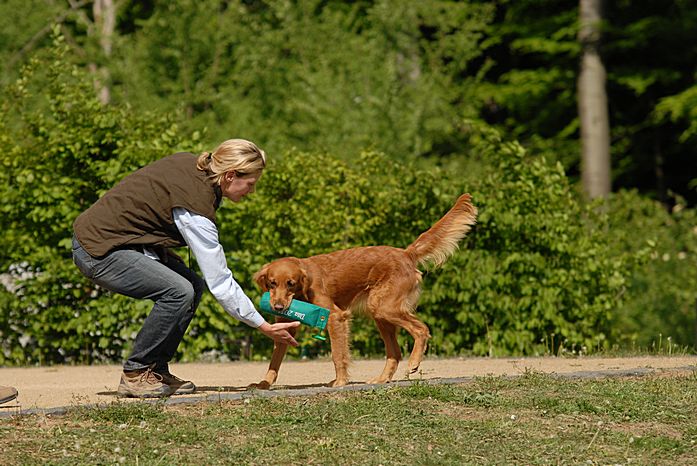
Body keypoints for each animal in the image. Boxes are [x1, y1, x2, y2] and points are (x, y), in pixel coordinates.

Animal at [251, 193, 477, 388]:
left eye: (290, 283)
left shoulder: (336, 317)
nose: (277, 306)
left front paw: (340, 381)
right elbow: (275, 360)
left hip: (383, 307)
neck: (302, 289)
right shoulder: (284, 327)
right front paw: (264, 383)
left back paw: (413, 363)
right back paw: (382, 379)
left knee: (421, 329)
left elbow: (338, 354)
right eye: (272, 283)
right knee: (395, 353)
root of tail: (406, 253)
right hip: (380, 313)